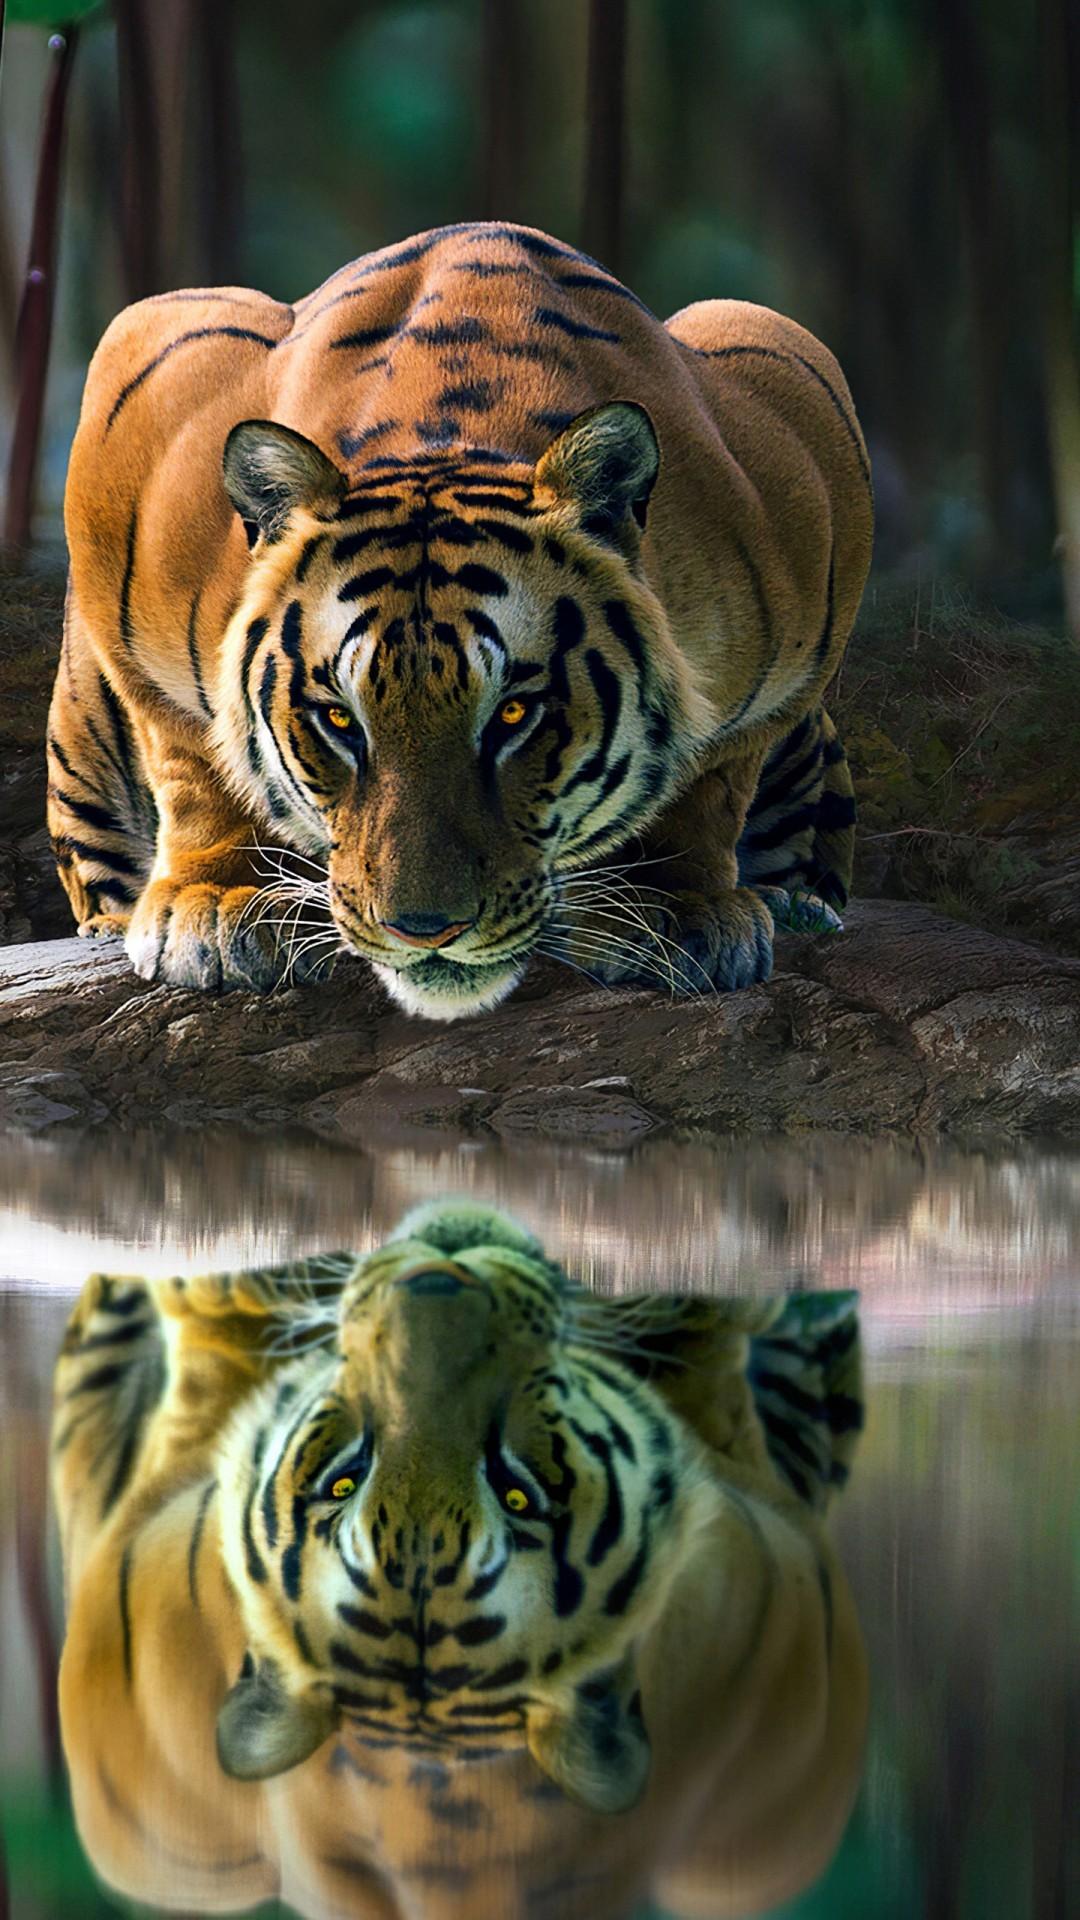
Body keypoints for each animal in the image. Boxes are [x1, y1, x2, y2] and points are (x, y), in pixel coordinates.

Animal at [48, 221, 872, 1021]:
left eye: (513, 714)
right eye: (339, 720)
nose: (424, 931)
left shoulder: (801, 421)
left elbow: (712, 775)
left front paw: (672, 907)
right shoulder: (144, 381)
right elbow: (193, 755)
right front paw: (224, 902)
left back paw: (797, 906)